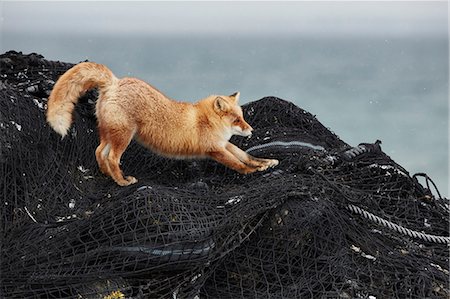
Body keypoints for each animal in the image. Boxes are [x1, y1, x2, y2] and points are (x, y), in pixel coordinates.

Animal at [46, 62, 278, 186]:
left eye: (243, 117)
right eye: (237, 120)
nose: (251, 130)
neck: (206, 120)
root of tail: (116, 82)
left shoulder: (223, 144)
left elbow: (245, 155)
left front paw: (265, 162)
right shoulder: (215, 149)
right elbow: (237, 164)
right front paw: (251, 172)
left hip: (110, 134)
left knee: (98, 152)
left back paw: (108, 176)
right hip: (124, 136)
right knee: (112, 157)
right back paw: (122, 181)